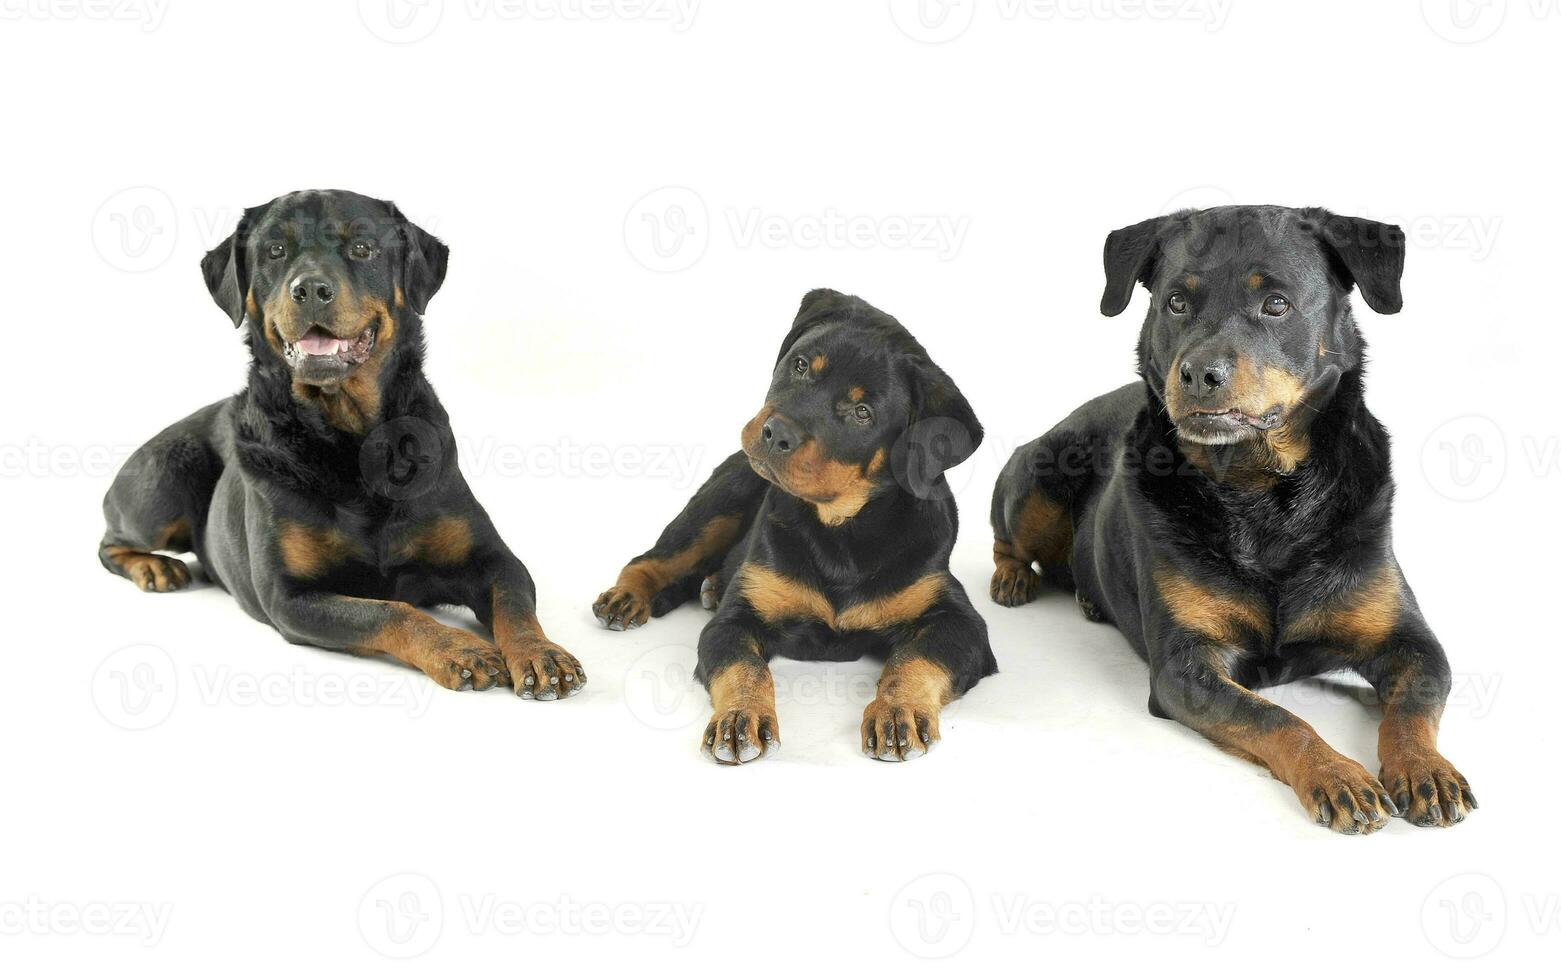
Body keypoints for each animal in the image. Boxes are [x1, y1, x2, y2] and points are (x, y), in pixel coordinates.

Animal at [99, 189, 586, 695]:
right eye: (275, 250)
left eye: (363, 248)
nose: (310, 289)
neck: (351, 441)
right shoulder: (290, 596)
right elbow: (390, 612)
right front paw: (458, 648)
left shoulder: (492, 558)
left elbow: (513, 600)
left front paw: (541, 654)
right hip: (166, 476)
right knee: (111, 540)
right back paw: (154, 567)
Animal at [590, 290, 992, 764]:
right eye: (800, 365)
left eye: (862, 413)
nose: (775, 432)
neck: (842, 531)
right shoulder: (733, 622)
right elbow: (745, 668)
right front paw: (740, 719)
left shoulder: (961, 622)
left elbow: (916, 660)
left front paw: (898, 712)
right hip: (721, 501)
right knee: (654, 558)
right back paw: (627, 597)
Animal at [986, 205, 1473, 836]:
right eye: (1175, 302)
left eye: (1276, 304)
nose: (1197, 373)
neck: (1260, 495)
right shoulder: (1185, 666)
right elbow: (1275, 718)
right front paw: (1336, 774)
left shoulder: (1411, 642)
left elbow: (1413, 705)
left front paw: (1424, 768)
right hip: (1040, 473)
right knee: (1008, 535)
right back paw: (1013, 578)